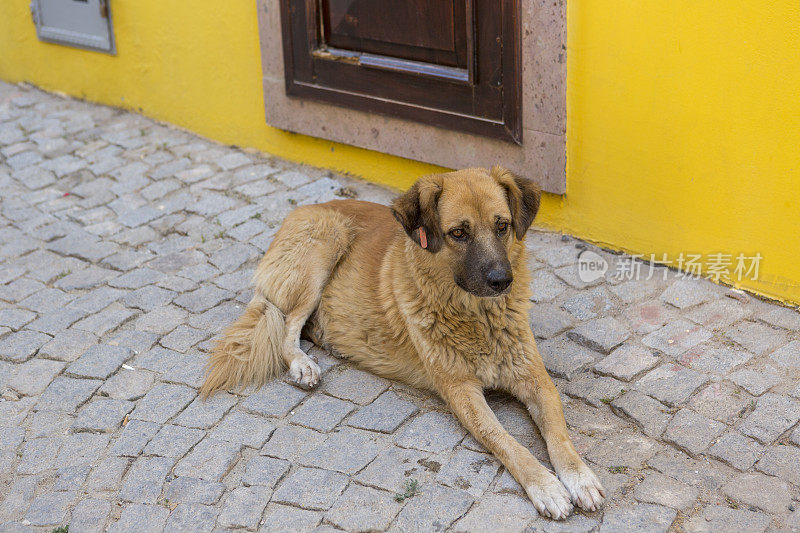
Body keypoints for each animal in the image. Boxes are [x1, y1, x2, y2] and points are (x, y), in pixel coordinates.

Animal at [203, 167, 604, 520]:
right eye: (459, 233)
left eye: (502, 226)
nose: (502, 281)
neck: (478, 318)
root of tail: (306, 208)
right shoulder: (461, 391)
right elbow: (506, 441)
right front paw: (545, 486)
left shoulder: (535, 378)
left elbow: (559, 434)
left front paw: (579, 477)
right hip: (324, 247)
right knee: (287, 324)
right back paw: (302, 363)